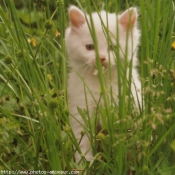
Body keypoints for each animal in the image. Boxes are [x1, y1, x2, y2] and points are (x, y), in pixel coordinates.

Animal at [65, 5, 142, 163]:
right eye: (89, 47)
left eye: (113, 47)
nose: (101, 58)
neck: (102, 83)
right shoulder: (80, 113)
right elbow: (83, 146)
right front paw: (83, 165)